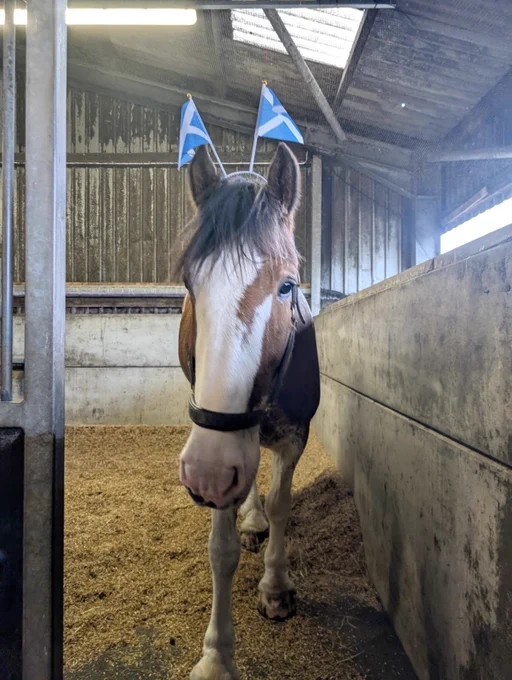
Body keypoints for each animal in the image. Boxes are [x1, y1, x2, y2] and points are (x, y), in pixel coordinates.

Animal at [177, 142, 320, 680]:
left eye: (287, 286)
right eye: (190, 285)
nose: (208, 469)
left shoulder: (296, 434)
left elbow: (282, 504)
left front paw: (276, 587)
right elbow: (221, 550)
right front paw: (217, 655)